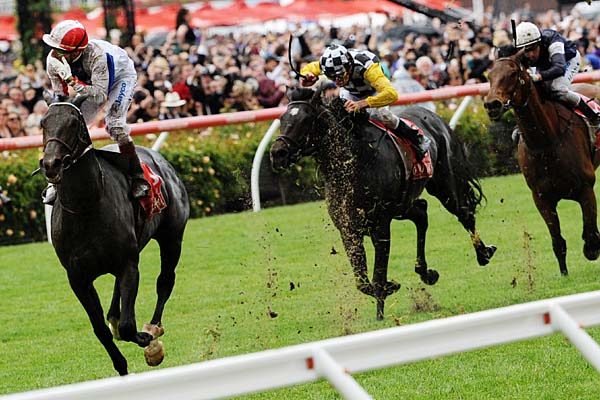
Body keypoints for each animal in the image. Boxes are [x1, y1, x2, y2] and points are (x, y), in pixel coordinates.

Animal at [39, 97, 189, 376]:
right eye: (43, 123)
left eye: (73, 123)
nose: (51, 164)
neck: (87, 206)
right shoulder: (78, 278)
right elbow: (99, 329)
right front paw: (121, 365)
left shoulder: (128, 264)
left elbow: (131, 326)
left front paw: (149, 344)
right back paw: (115, 320)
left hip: (172, 237)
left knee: (165, 281)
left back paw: (153, 327)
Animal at [272, 89, 496, 320]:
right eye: (282, 119)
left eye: (305, 119)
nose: (277, 153)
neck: (354, 162)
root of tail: (435, 117)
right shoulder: (348, 229)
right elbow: (362, 282)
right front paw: (392, 286)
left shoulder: (380, 225)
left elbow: (378, 276)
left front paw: (380, 313)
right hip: (403, 204)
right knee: (421, 213)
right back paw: (426, 273)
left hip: (445, 184)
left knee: (464, 214)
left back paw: (483, 254)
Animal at [482, 50, 600, 276]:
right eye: (489, 76)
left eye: (512, 73)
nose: (492, 104)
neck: (546, 142)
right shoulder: (541, 198)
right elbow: (558, 242)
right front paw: (564, 274)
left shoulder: (585, 188)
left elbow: (590, 237)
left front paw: (592, 249)